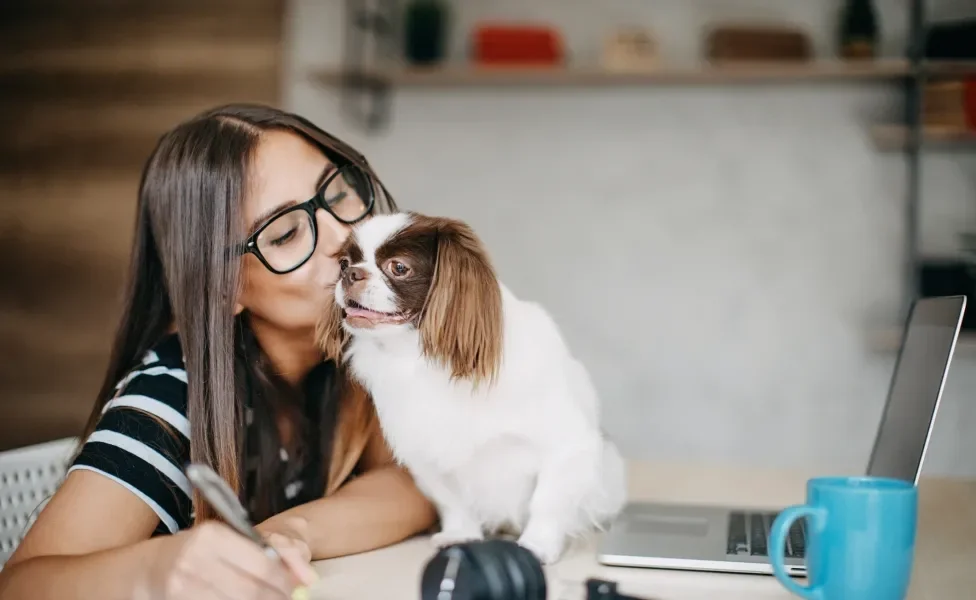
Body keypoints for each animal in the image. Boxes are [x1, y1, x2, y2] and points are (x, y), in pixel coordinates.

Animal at [320, 211, 624, 564]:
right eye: (343, 263)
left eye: (399, 267)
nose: (350, 274)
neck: (423, 360)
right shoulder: (427, 457)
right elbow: (453, 502)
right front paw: (460, 535)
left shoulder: (566, 445)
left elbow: (547, 501)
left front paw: (536, 545)